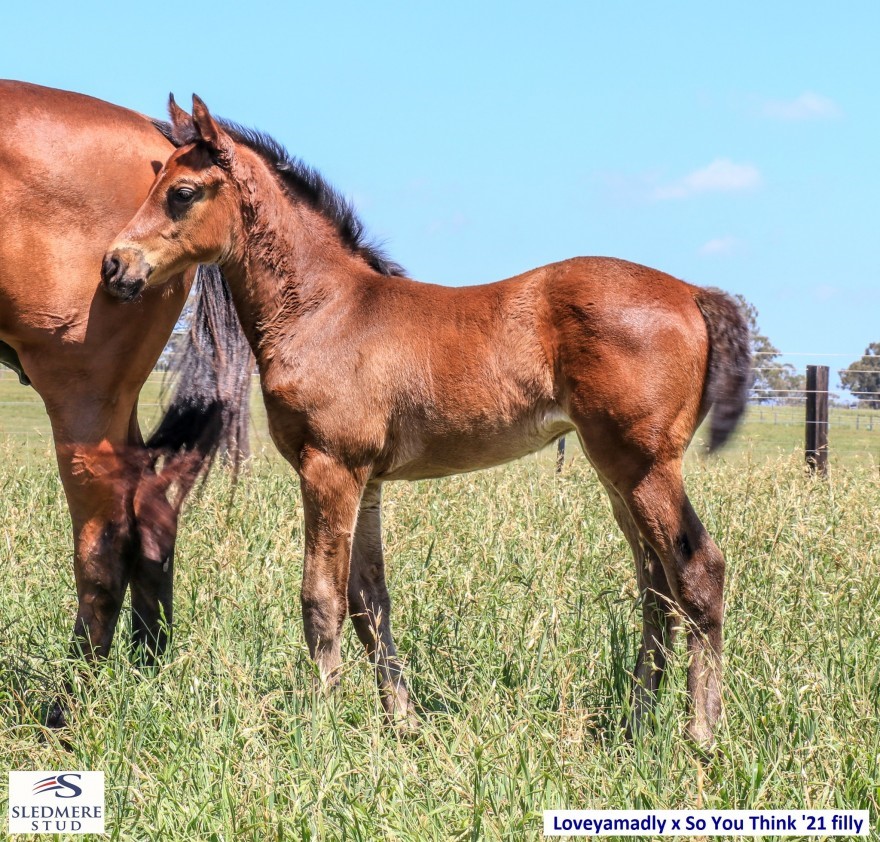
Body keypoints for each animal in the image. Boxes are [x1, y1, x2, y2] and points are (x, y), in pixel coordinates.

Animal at [0, 82, 251, 726]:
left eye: (181, 195)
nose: (117, 265)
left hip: (82, 392)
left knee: (105, 540)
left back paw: (67, 705)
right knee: (152, 513)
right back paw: (146, 664)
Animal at [102, 95, 751, 746]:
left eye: (182, 192)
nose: (114, 265)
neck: (324, 311)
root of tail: (693, 293)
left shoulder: (329, 468)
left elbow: (321, 598)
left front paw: (318, 726)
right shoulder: (367, 480)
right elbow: (369, 599)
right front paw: (404, 724)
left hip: (643, 465)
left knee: (698, 570)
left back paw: (702, 733)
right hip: (615, 472)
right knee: (657, 587)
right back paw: (635, 725)